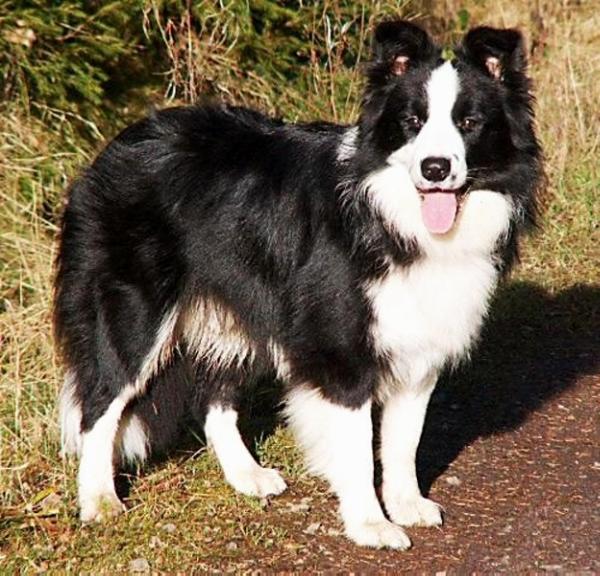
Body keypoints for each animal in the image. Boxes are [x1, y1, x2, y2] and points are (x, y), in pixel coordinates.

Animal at [55, 20, 540, 548]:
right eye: (412, 121)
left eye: (470, 123)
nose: (435, 168)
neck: (394, 219)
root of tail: (112, 149)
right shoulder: (341, 347)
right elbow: (356, 446)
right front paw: (371, 524)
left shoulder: (417, 340)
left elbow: (404, 439)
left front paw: (407, 505)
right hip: (135, 307)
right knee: (102, 398)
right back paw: (99, 500)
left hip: (237, 307)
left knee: (214, 396)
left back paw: (247, 476)